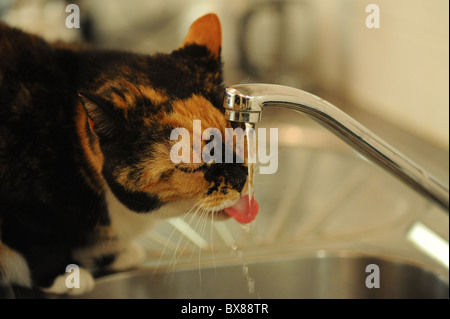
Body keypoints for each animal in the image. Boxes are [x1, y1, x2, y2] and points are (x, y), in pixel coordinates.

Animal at [0, 12, 258, 298]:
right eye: (193, 168)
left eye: (240, 138)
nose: (239, 179)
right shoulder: (23, 206)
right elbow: (39, 240)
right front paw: (66, 276)